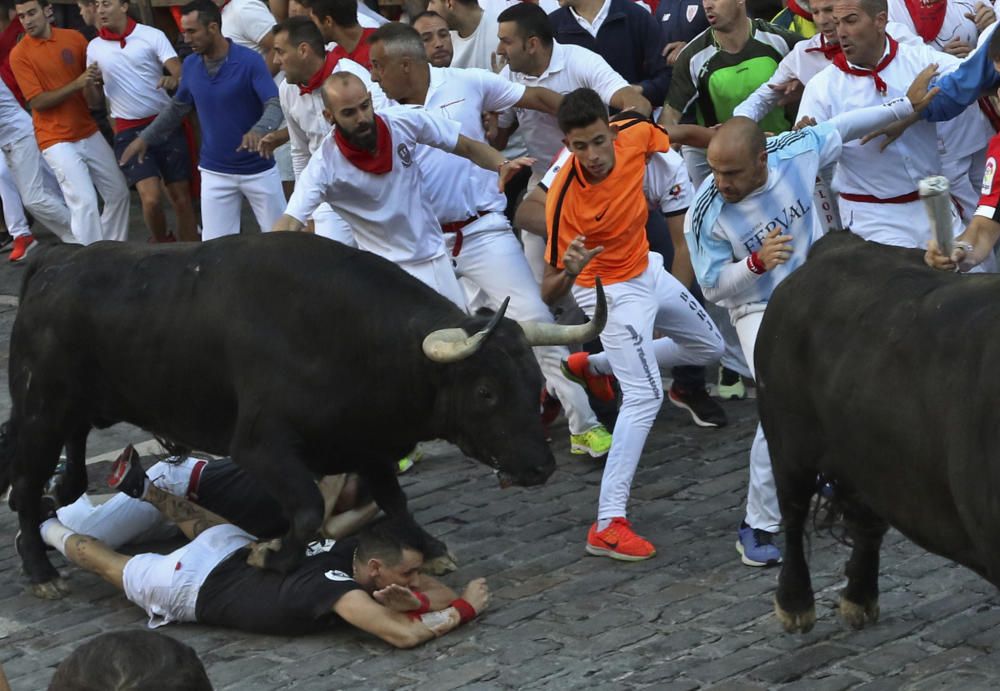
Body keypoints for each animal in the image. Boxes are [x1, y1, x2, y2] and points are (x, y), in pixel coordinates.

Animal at [1, 234, 608, 600]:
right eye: (484, 390)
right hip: (38, 412)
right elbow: (310, 508)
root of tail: (58, 259)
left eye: (533, 383)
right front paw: (271, 555)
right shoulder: (259, 447)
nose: (539, 467)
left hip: (74, 410)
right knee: (24, 487)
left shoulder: (366, 441)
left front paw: (431, 549)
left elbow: (393, 499)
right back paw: (40, 569)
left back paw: (59, 508)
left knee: (65, 469)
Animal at [756, 235, 1000, 636]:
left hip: (868, 450)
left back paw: (859, 597)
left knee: (867, 517)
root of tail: (839, 244)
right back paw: (795, 604)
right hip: (788, 441)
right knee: (792, 512)